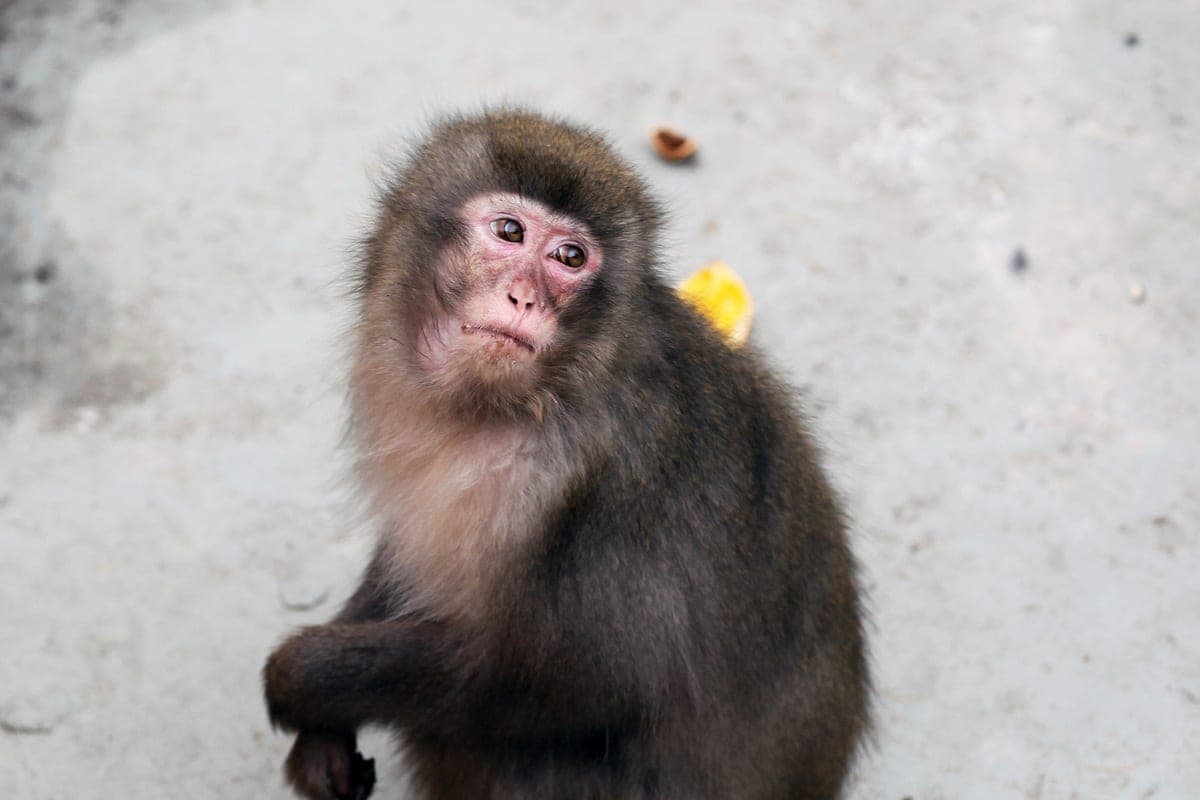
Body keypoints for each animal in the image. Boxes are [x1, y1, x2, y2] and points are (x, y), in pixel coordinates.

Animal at [262, 109, 870, 800]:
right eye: (509, 231)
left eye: (570, 257)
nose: (523, 299)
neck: (525, 404)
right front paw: (323, 739)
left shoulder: (600, 482)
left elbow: (574, 684)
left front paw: (304, 678)